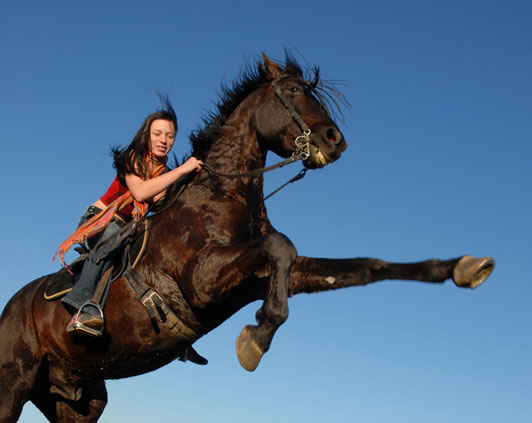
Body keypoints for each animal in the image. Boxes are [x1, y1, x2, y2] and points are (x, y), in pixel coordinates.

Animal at [0, 54, 494, 422]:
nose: (335, 140)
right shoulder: (204, 281)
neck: (222, 193)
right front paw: (258, 336)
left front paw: (462, 267)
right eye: (294, 92)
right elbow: (282, 246)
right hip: (13, 387)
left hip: (78, 401)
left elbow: (362, 266)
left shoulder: (256, 277)